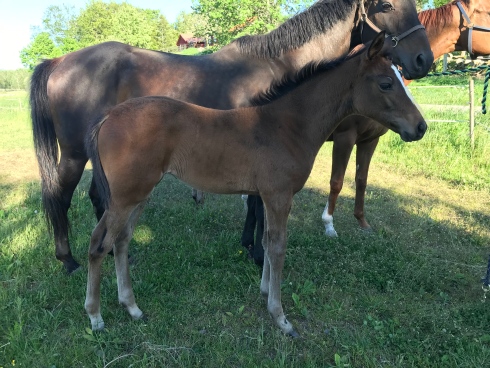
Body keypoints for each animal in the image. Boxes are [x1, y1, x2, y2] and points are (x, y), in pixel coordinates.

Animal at [29, 0, 432, 274]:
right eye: (387, 5)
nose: (423, 60)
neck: (277, 65)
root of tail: (59, 61)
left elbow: (253, 202)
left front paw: (248, 246)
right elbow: (257, 205)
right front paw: (257, 253)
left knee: (99, 198)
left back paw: (111, 251)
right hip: (75, 154)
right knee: (60, 197)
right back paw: (69, 260)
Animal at [322, 0, 490, 236]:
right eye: (489, 12)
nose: (423, 60)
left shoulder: (370, 139)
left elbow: (361, 179)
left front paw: (362, 222)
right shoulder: (344, 137)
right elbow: (336, 181)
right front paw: (329, 225)